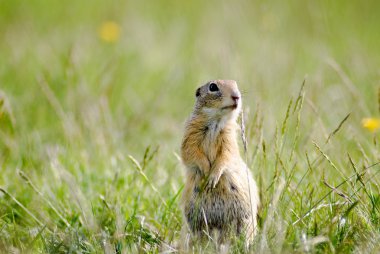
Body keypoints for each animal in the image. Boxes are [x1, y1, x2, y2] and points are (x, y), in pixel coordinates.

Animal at [180, 79, 258, 248]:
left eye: (236, 84)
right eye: (213, 87)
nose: (236, 96)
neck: (216, 120)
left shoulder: (228, 138)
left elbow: (226, 156)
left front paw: (213, 177)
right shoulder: (190, 134)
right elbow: (191, 152)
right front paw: (205, 170)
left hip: (244, 219)